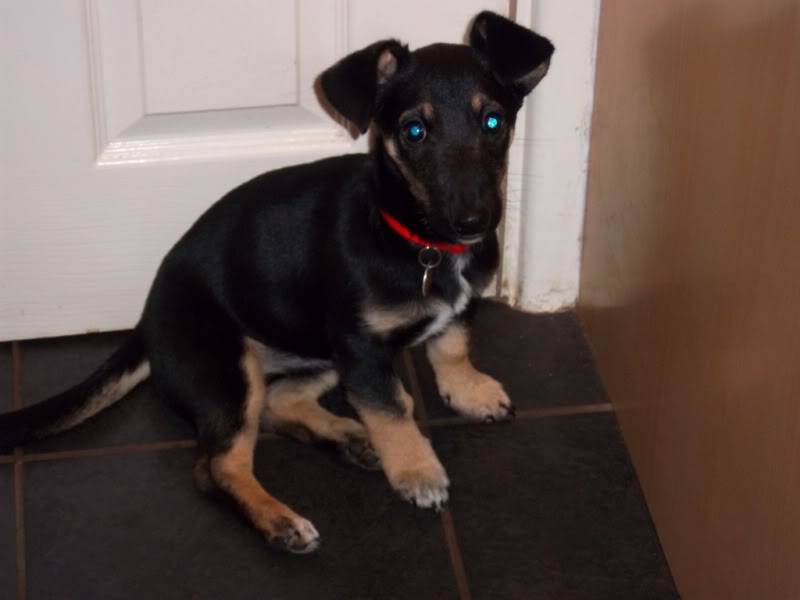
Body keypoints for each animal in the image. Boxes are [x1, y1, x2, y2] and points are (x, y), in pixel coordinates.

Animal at [0, 11, 552, 552]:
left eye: (494, 121)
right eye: (414, 131)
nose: (473, 221)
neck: (414, 238)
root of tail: (145, 323)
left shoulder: (433, 318)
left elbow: (452, 344)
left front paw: (470, 391)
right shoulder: (361, 346)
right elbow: (394, 407)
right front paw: (417, 471)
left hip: (314, 351)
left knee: (277, 404)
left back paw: (350, 438)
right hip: (232, 367)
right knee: (216, 466)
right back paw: (280, 520)